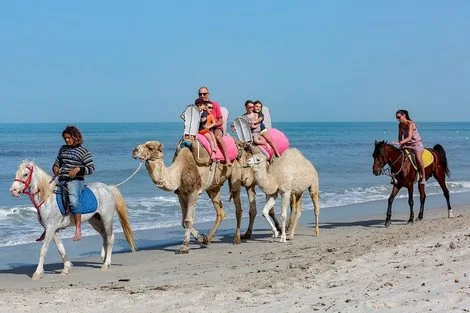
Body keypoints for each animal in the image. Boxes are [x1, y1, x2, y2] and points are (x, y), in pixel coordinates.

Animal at [8, 160, 136, 280]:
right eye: (16, 173)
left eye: (25, 174)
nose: (13, 191)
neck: (47, 198)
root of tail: (108, 188)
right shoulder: (54, 230)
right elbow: (61, 249)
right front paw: (66, 268)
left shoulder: (50, 228)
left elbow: (43, 250)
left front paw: (38, 273)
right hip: (95, 221)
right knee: (105, 237)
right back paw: (104, 260)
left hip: (106, 218)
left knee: (110, 238)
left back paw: (106, 264)